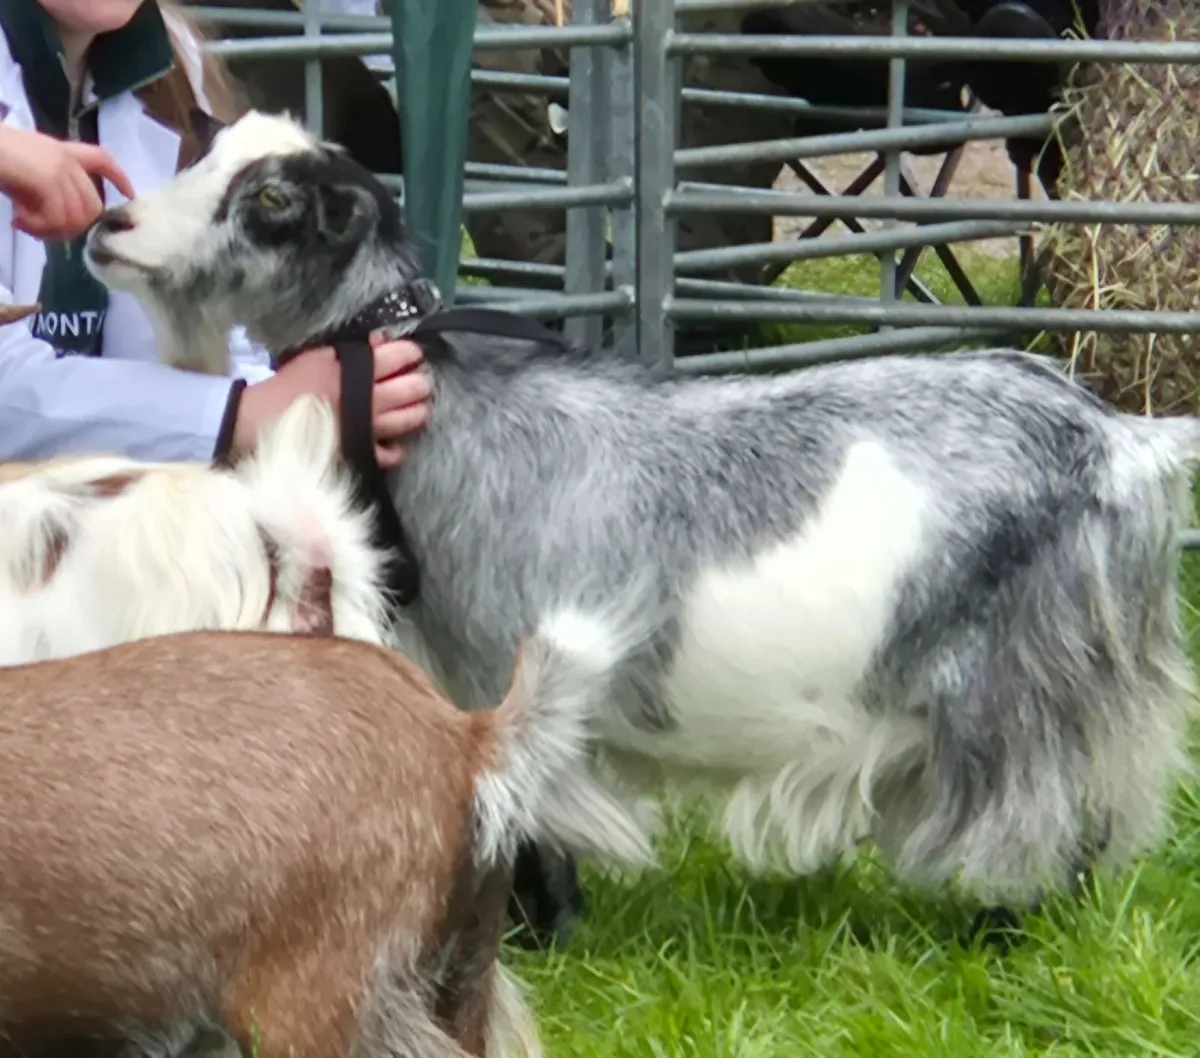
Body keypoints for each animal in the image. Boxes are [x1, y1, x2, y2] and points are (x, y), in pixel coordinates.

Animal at [84, 109, 1200, 941]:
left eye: (272, 201)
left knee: (1036, 817)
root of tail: (1122, 440)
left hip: (1018, 680)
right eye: (202, 153)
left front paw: (539, 934)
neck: (442, 403)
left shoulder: (509, 668)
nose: (110, 228)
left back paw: (999, 929)